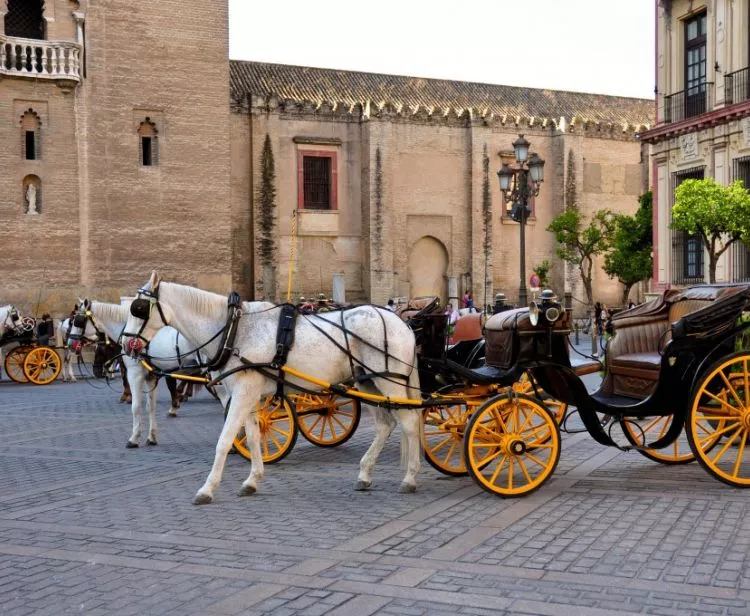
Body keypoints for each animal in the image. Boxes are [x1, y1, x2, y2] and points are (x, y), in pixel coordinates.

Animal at [71, 300, 217, 448]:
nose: (71, 342)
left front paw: (134, 438)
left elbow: (136, 407)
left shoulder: (135, 374)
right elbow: (150, 406)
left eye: (78, 321)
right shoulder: (151, 376)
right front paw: (152, 437)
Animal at [123, 274, 424, 506]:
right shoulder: (249, 395)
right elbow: (254, 437)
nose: (126, 344)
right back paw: (365, 474)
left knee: (409, 422)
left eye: (138, 308)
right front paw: (252, 480)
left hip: (388, 381)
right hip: (368, 382)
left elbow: (225, 439)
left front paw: (207, 489)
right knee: (386, 424)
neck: (234, 329)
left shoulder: (241, 393)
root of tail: (403, 324)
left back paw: (410, 478)